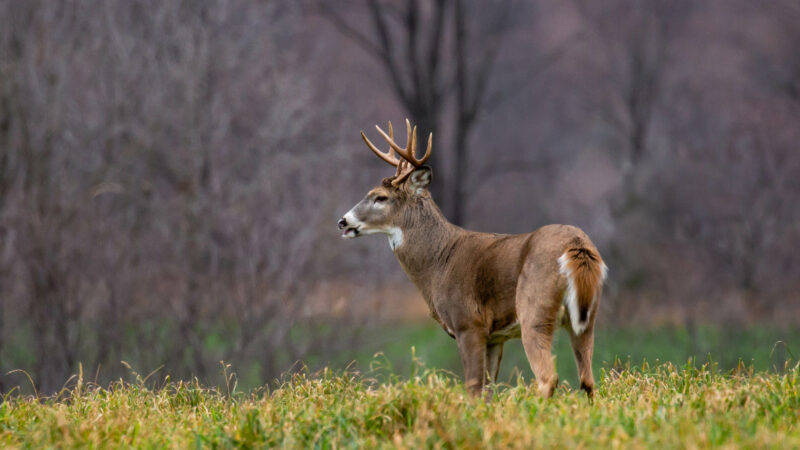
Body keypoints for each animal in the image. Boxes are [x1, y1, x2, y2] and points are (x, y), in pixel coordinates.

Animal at [338, 118, 608, 398]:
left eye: (380, 197)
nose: (343, 221)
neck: (438, 264)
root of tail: (577, 246)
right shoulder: (495, 337)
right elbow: (487, 390)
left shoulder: (468, 322)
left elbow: (473, 387)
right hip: (587, 318)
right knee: (588, 380)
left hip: (534, 309)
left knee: (548, 377)